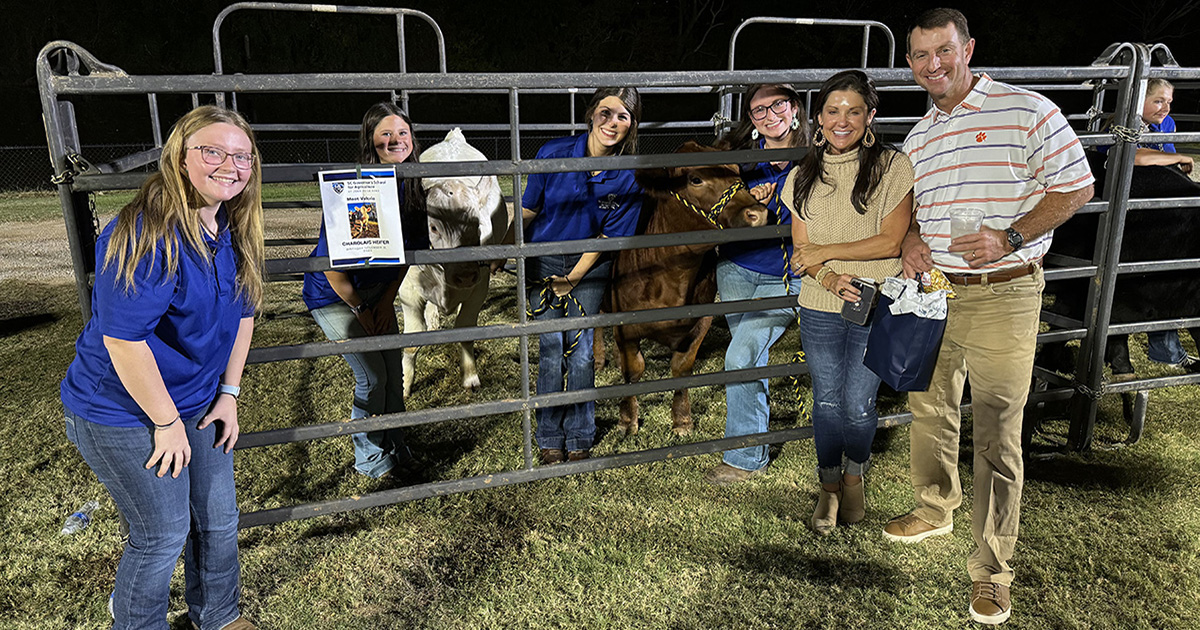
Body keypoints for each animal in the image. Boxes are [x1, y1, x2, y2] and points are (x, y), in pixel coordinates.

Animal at [396, 127, 504, 398]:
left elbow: (465, 328)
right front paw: (404, 383)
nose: (464, 275)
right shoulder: (407, 290)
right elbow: (411, 340)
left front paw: (470, 376)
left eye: (477, 223)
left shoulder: (479, 286)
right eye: (433, 227)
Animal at [609, 141, 768, 434]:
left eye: (738, 170)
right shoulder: (624, 326)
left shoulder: (700, 323)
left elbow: (682, 369)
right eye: (696, 179)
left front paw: (682, 420)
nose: (759, 213)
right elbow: (633, 370)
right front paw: (627, 420)